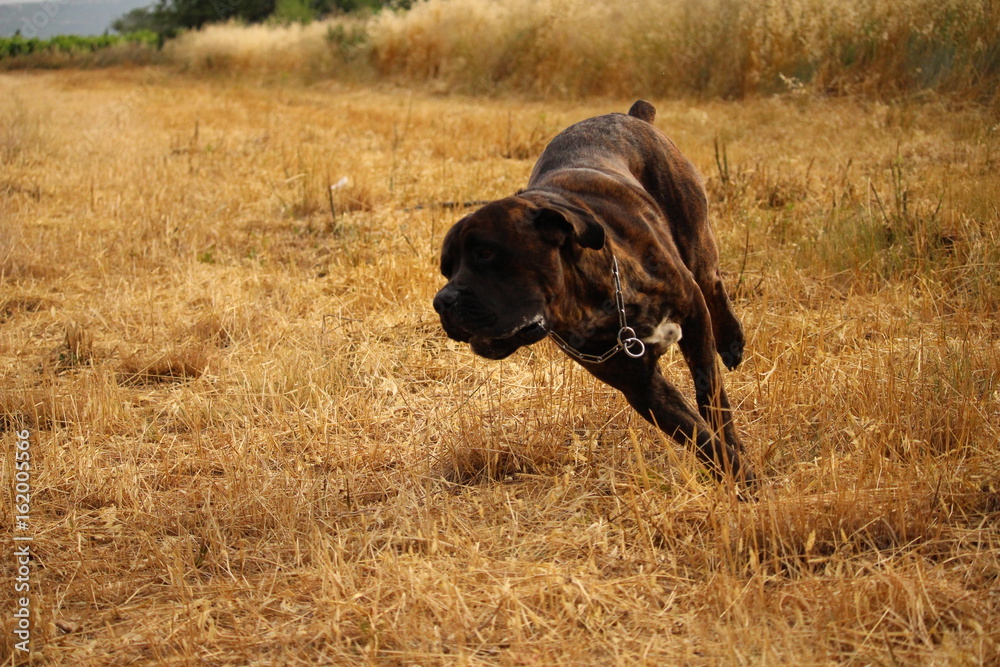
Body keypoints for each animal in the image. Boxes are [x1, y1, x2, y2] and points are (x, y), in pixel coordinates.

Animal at [434, 100, 752, 486]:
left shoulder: (694, 320)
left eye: (485, 253)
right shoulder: (641, 387)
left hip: (695, 243)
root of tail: (632, 115)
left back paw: (732, 341)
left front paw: (741, 467)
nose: (442, 301)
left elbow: (711, 396)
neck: (597, 302)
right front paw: (738, 477)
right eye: (447, 269)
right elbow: (699, 437)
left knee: (714, 283)